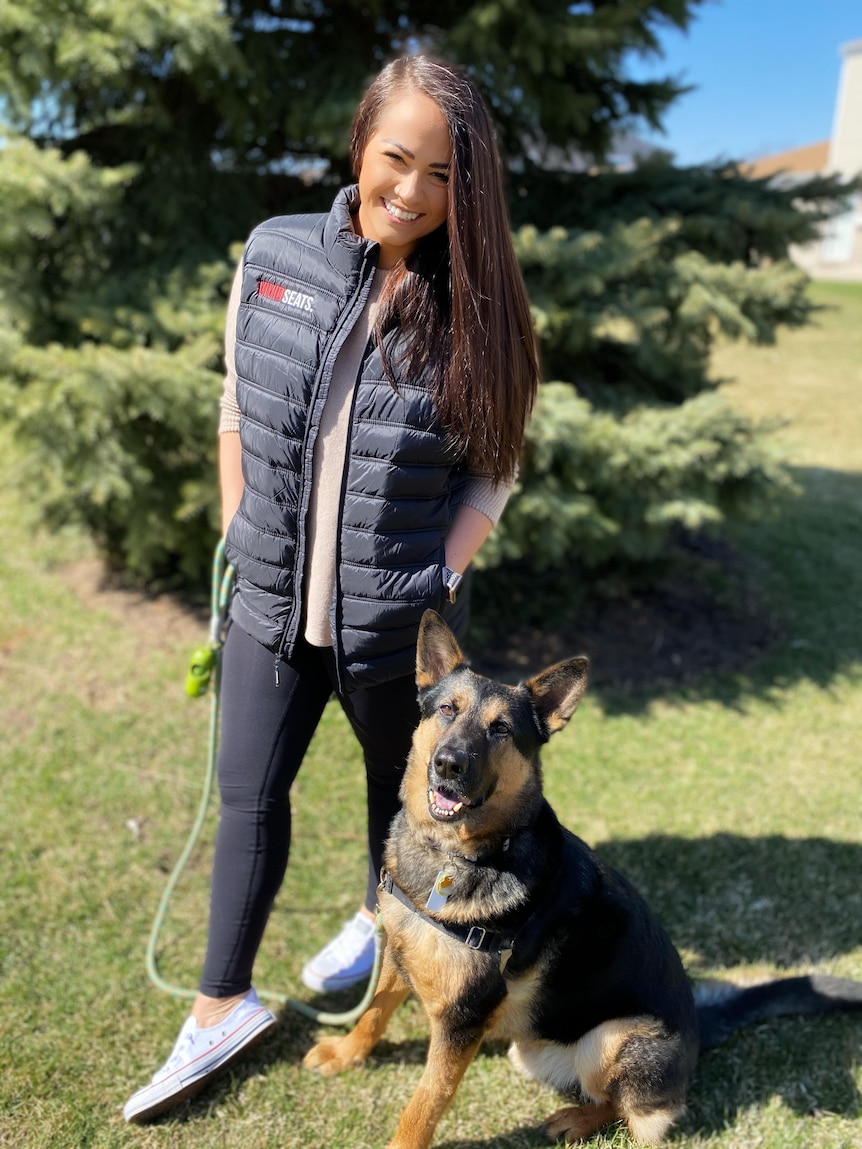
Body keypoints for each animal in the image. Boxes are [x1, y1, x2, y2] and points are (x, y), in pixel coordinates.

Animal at [303, 615, 862, 1144]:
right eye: (446, 710)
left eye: (501, 729)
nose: (449, 764)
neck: (458, 857)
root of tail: (700, 1030)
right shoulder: (400, 953)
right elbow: (374, 1013)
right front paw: (346, 1052)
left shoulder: (462, 1022)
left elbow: (424, 1104)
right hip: (529, 1050)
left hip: (610, 1039)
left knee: (627, 1110)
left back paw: (574, 1120)